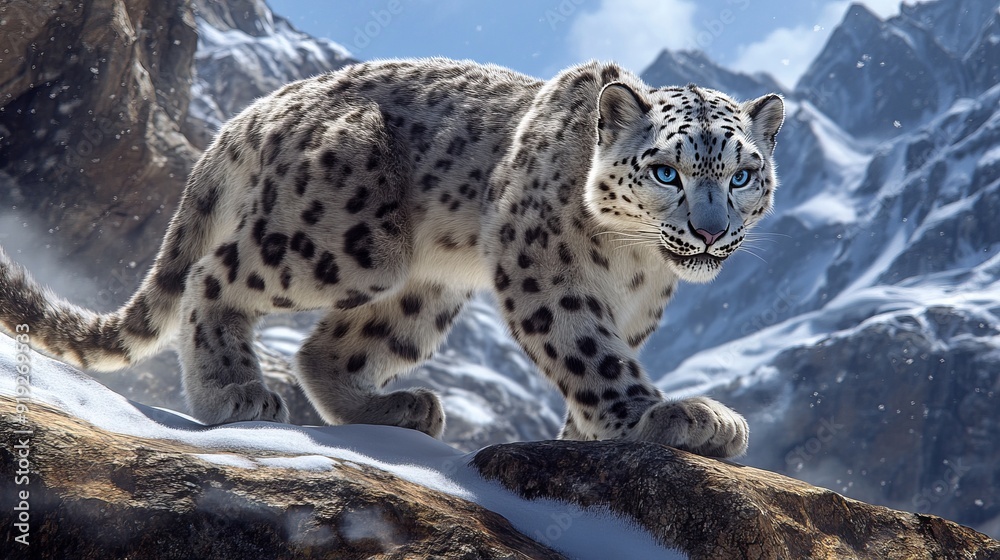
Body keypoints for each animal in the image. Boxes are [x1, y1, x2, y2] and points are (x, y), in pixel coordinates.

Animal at [0, 58, 783, 459]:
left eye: (743, 175)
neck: (635, 265)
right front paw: (672, 419)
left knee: (329, 348)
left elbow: (595, 376)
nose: (709, 233)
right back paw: (233, 392)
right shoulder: (548, 274)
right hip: (345, 240)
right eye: (667, 171)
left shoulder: (637, 314)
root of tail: (258, 109)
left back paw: (401, 409)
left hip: (423, 284)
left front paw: (585, 441)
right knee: (213, 275)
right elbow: (589, 355)